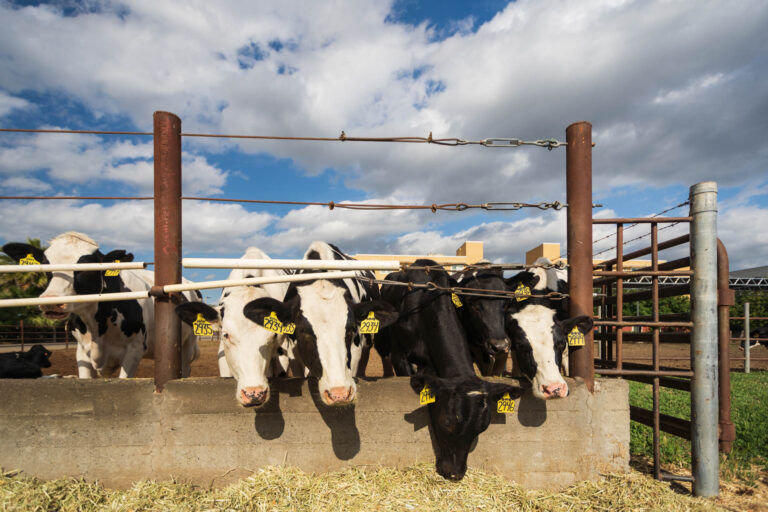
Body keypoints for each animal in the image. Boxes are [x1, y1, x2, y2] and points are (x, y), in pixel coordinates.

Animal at [2, 232, 200, 378]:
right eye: (44, 264)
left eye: (88, 267)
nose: (51, 301)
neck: (96, 327)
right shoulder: (82, 352)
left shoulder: (134, 350)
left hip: (187, 344)